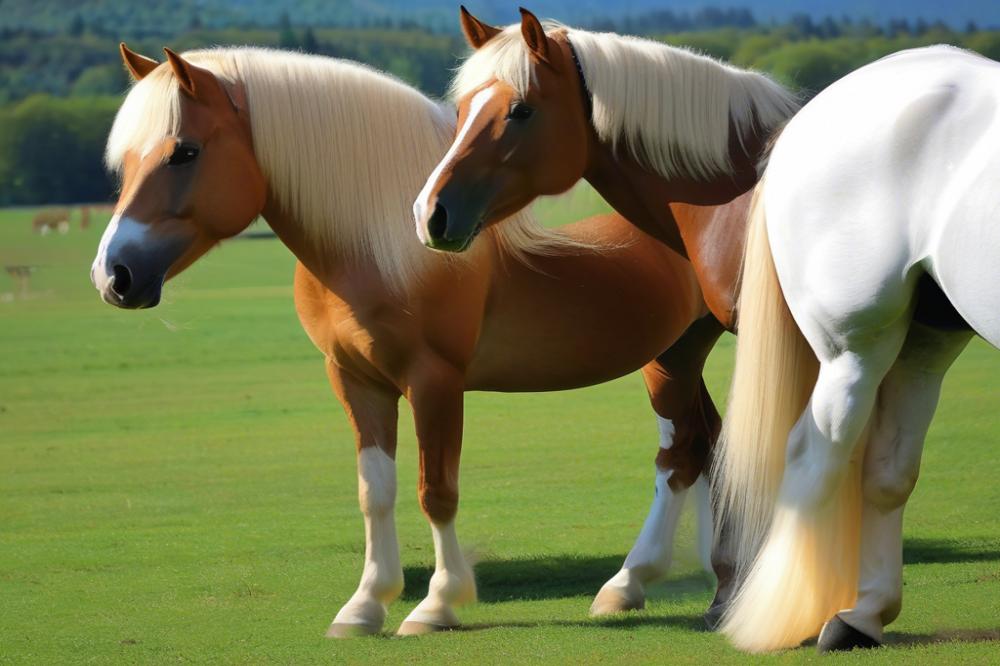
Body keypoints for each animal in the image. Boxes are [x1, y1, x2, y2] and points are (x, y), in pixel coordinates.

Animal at [92, 45, 720, 632]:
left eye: (184, 152)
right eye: (126, 161)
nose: (112, 275)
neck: (379, 244)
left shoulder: (434, 380)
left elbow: (435, 489)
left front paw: (437, 604)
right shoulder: (355, 380)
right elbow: (376, 491)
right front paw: (365, 605)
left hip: (672, 361)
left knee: (678, 458)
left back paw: (632, 581)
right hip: (678, 350)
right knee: (701, 444)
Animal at [412, 7, 796, 624]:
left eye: (521, 110)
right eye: (464, 108)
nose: (431, 212)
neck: (744, 194)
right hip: (676, 353)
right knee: (700, 445)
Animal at [716, 44, 1000, 652]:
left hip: (924, 343)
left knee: (888, 471)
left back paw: (862, 615)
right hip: (854, 350)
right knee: (813, 454)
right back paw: (780, 620)